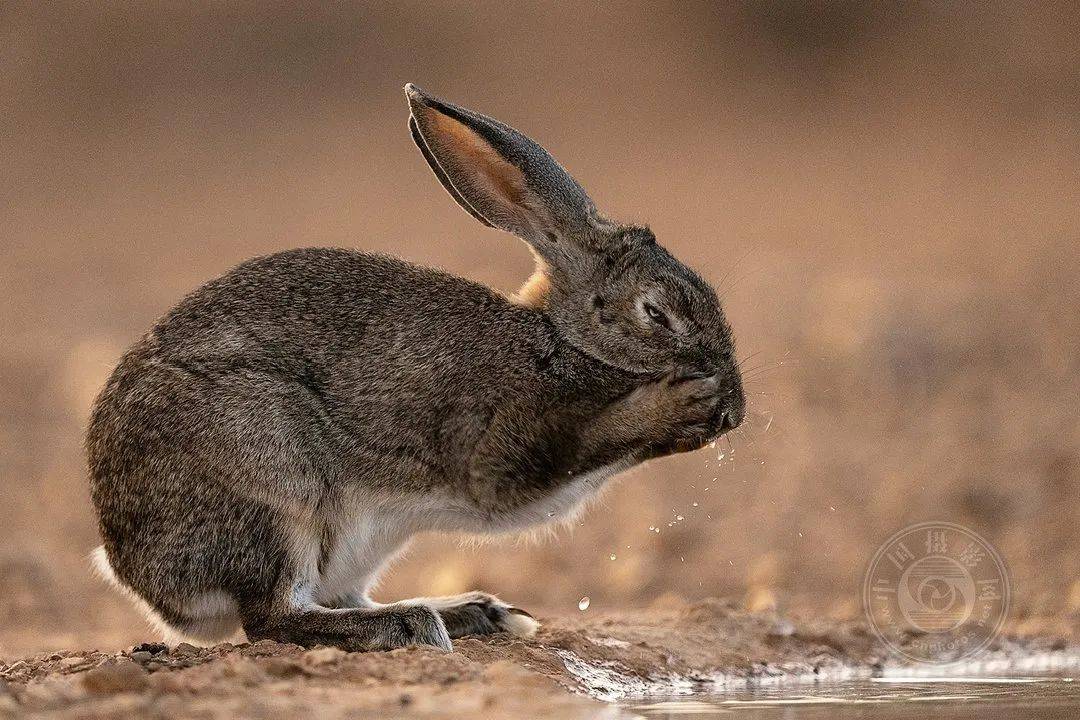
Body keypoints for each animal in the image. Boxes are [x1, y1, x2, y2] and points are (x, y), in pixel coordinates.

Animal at [86, 84, 743, 651]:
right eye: (657, 312)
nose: (736, 410)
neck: (562, 342)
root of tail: (140, 575)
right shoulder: (502, 448)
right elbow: (582, 441)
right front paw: (683, 402)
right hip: (273, 479)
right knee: (274, 616)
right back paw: (411, 625)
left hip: (348, 543)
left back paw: (474, 612)